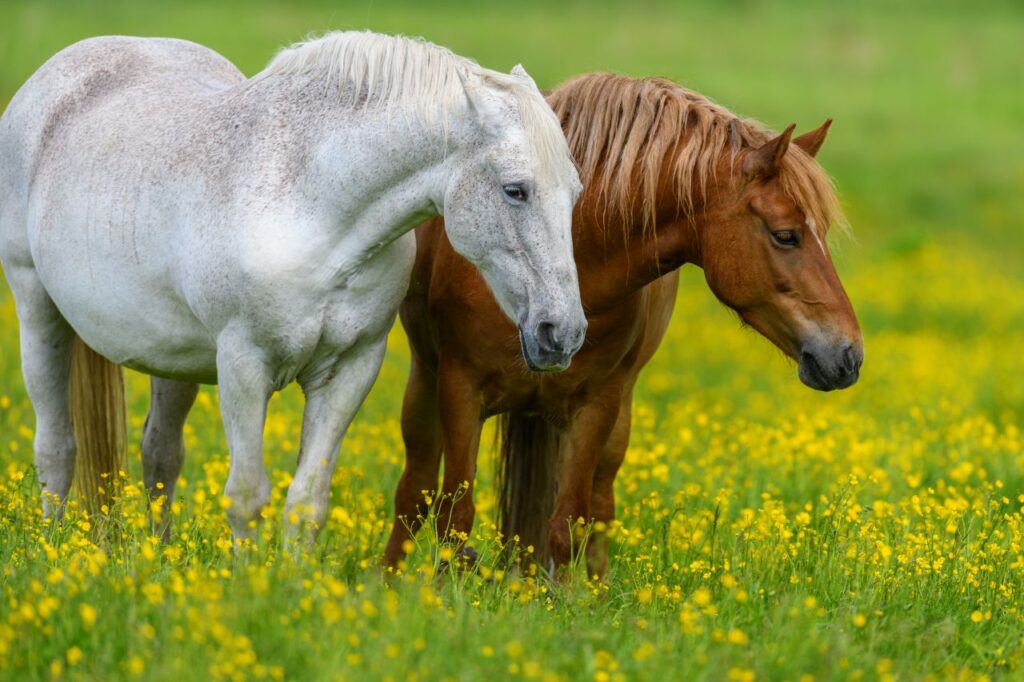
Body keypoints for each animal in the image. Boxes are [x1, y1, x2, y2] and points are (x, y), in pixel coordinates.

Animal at [0, 31, 587, 542]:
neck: (312, 205)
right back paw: (55, 544)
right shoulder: (243, 364)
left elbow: (307, 502)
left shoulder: (348, 370)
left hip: (173, 357)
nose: (563, 333)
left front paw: (291, 583)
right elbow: (246, 497)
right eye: (515, 190)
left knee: (160, 454)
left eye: (576, 191)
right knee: (56, 449)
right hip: (39, 313)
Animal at [383, 73, 863, 576]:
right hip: (425, 385)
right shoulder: (460, 390)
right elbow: (453, 517)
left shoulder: (596, 405)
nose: (848, 354)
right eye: (786, 236)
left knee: (599, 507)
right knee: (413, 493)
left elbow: (568, 525)